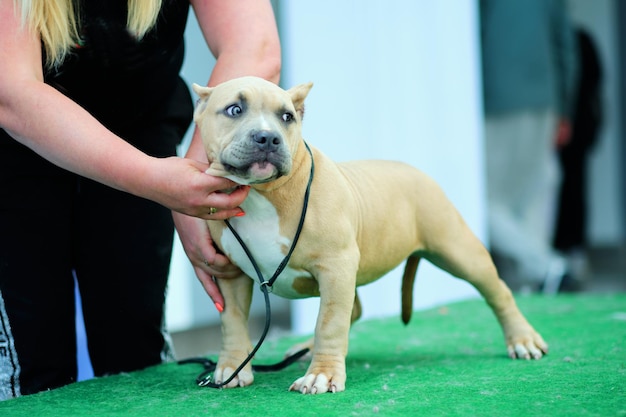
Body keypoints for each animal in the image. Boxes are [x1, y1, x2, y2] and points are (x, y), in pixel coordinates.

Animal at [191, 75, 544, 394]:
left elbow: (329, 322)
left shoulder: (336, 267)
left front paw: (321, 375)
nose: (268, 137)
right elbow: (233, 322)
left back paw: (523, 339)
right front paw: (232, 367)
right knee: (354, 309)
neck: (262, 194)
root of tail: (418, 172)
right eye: (235, 109)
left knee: (498, 291)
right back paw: (304, 348)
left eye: (286, 117)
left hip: (459, 251)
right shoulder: (231, 274)